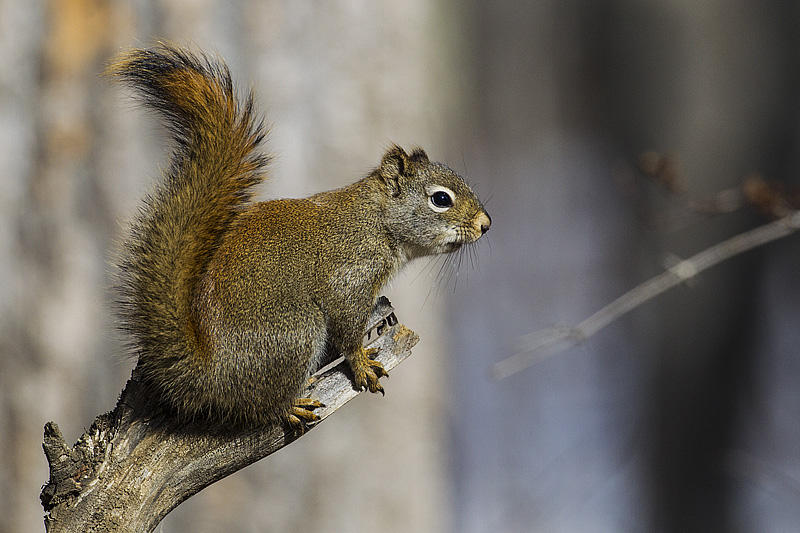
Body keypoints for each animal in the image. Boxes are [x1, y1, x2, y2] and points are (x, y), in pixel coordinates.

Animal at [109, 44, 490, 428]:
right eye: (440, 199)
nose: (485, 224)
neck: (376, 222)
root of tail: (207, 375)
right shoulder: (349, 277)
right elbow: (348, 329)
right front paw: (361, 364)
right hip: (296, 331)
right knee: (260, 406)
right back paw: (290, 406)